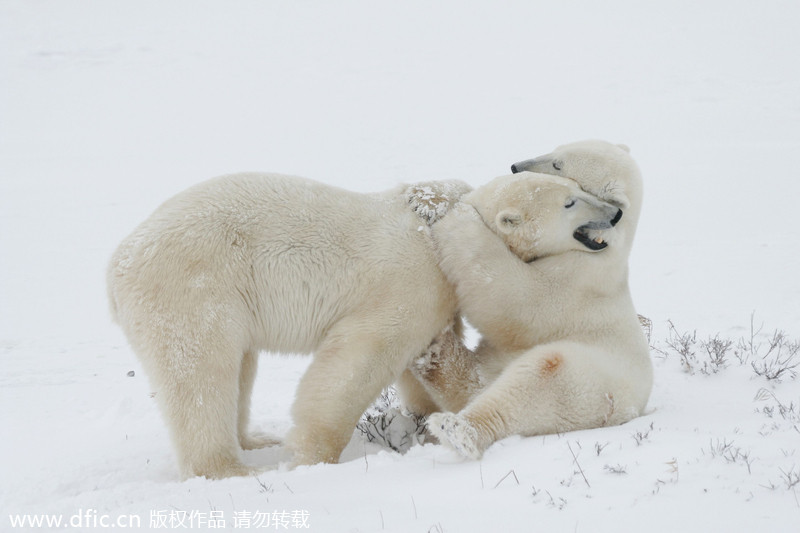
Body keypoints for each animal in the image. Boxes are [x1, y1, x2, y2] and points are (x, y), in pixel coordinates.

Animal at [104, 171, 612, 478]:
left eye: (575, 184)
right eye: (571, 201)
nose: (614, 210)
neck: (446, 234)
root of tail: (117, 264)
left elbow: (430, 357)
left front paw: (423, 420)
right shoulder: (413, 278)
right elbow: (361, 358)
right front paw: (313, 457)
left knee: (238, 368)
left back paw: (254, 439)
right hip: (193, 287)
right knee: (201, 375)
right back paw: (230, 469)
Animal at [416, 140, 652, 458]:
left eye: (558, 165)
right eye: (556, 151)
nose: (516, 166)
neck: (607, 250)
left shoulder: (575, 283)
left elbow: (512, 296)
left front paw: (456, 214)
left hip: (594, 386)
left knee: (541, 378)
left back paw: (458, 429)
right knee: (479, 379)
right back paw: (435, 354)